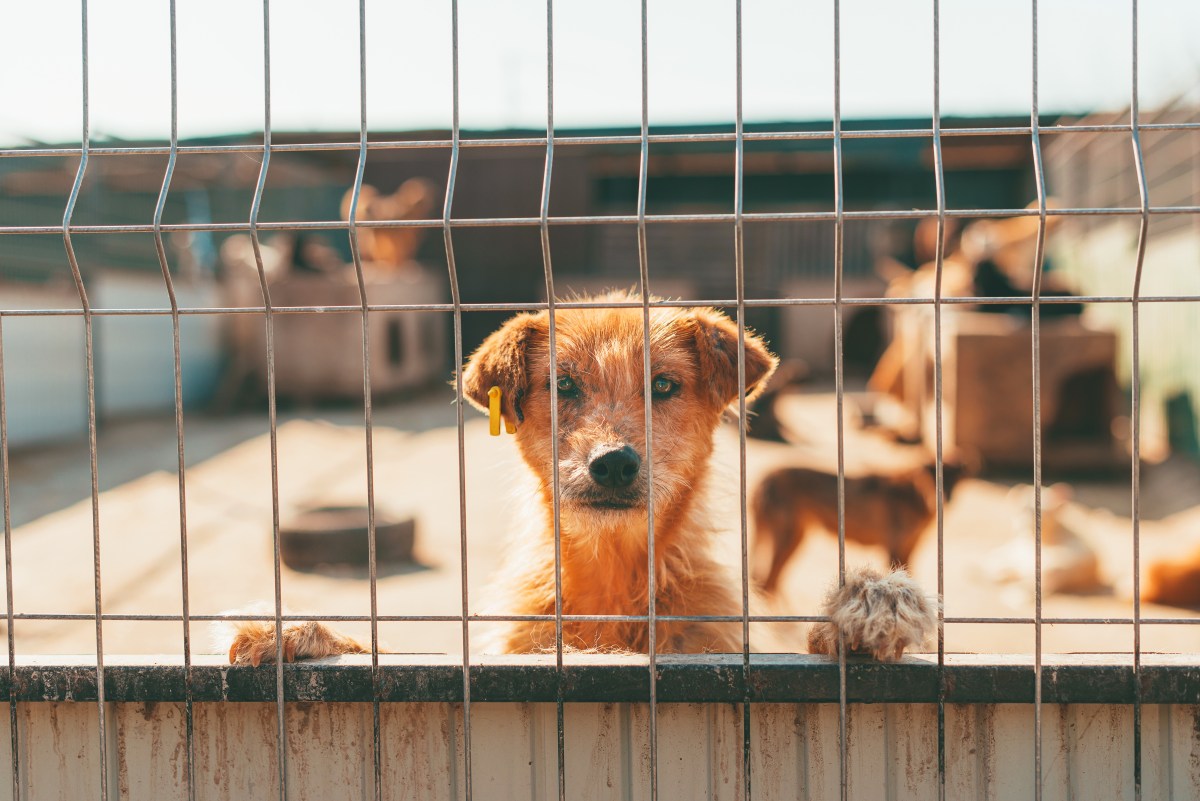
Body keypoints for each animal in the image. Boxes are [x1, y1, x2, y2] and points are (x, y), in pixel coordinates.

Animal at [225, 297, 936, 661]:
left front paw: (874, 602)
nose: (614, 463)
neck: (613, 583)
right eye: (563, 385)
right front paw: (294, 633)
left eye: (663, 386)